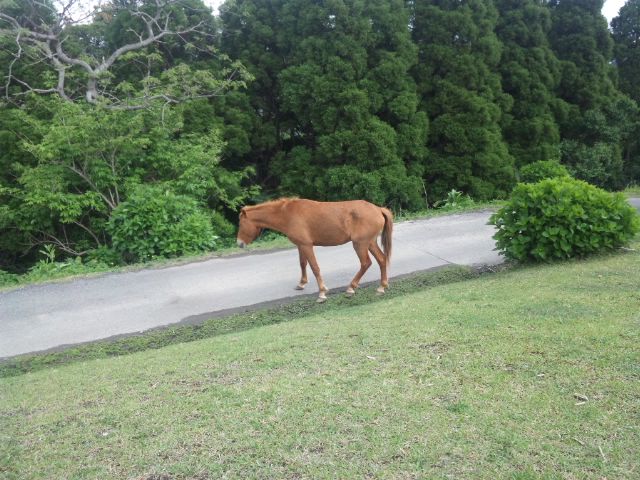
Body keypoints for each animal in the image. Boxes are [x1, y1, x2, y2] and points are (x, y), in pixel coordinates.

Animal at [236, 197, 392, 302]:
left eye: (241, 223)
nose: (239, 243)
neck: (287, 214)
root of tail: (378, 209)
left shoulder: (307, 245)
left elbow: (314, 267)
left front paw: (322, 292)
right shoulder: (301, 245)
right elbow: (303, 264)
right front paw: (302, 283)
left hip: (360, 244)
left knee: (366, 263)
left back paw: (351, 288)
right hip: (370, 243)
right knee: (382, 259)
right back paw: (382, 287)